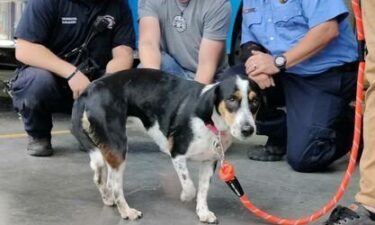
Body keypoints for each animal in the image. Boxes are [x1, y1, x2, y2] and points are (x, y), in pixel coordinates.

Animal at [70, 68, 262, 223]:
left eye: (254, 102)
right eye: (231, 99)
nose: (248, 130)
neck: (210, 120)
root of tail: (89, 90)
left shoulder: (209, 161)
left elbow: (203, 190)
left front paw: (202, 212)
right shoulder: (177, 153)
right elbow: (190, 187)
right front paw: (185, 196)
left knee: (99, 177)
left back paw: (108, 199)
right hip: (118, 146)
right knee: (113, 184)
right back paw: (127, 211)